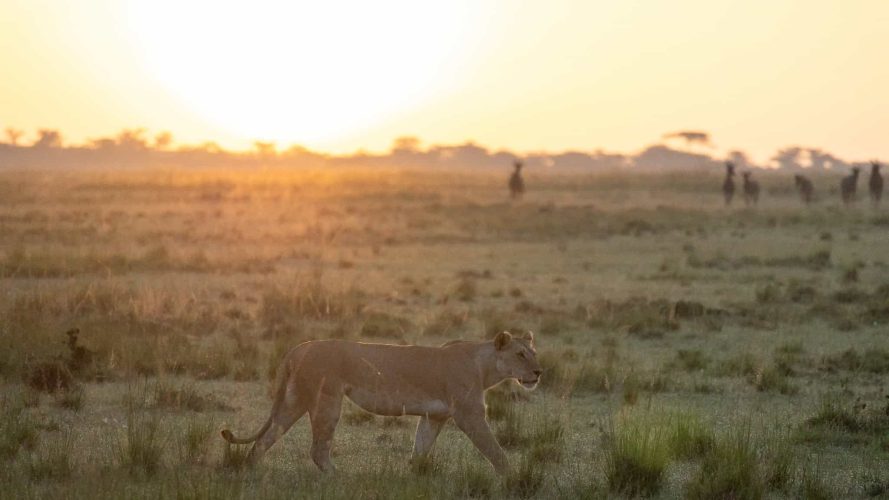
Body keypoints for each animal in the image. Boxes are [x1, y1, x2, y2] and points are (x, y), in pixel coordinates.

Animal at [221, 331, 541, 475]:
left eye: (534, 353)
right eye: (520, 354)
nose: (539, 372)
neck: (484, 366)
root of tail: (299, 348)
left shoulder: (434, 417)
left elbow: (420, 449)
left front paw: (412, 475)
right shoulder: (469, 414)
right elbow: (495, 451)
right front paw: (512, 479)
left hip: (294, 399)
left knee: (265, 438)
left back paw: (250, 471)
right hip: (326, 400)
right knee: (317, 449)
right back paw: (340, 479)